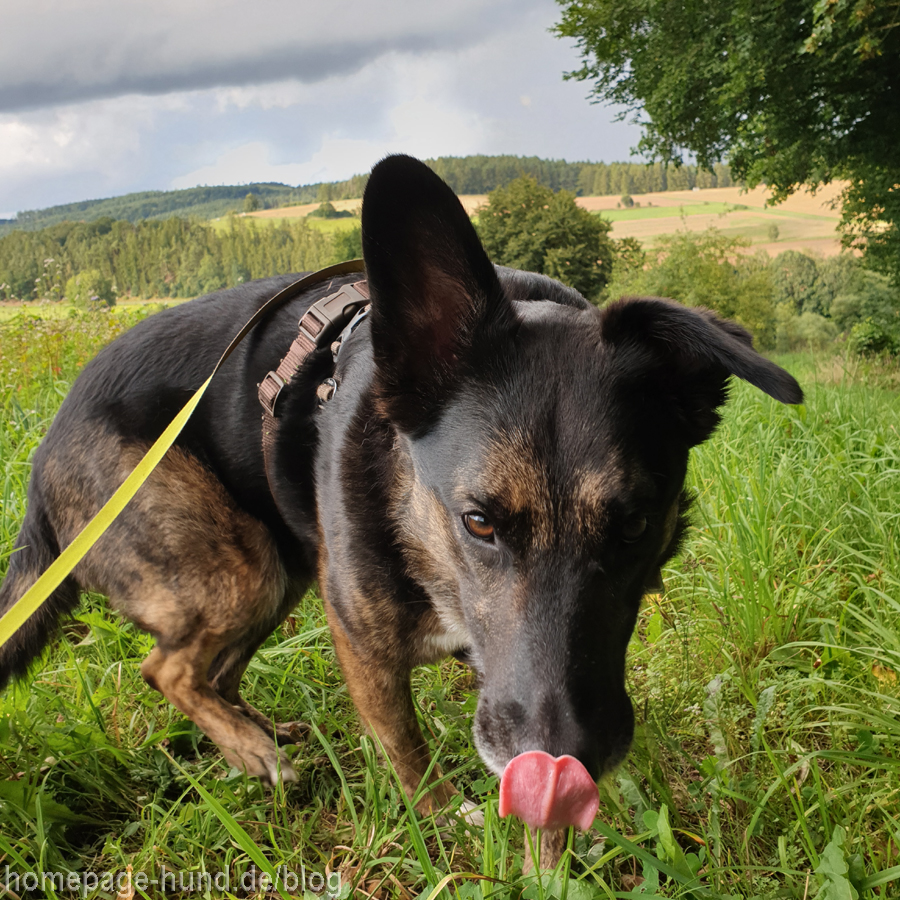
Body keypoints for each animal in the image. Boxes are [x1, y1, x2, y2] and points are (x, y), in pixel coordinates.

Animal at [0, 153, 800, 864]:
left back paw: (262, 735)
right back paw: (255, 751)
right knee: (167, 668)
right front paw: (445, 817)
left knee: (210, 671)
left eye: (634, 525)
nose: (563, 763)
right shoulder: (362, 642)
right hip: (239, 569)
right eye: (479, 521)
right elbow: (407, 750)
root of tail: (44, 459)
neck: (419, 530)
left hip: (278, 571)